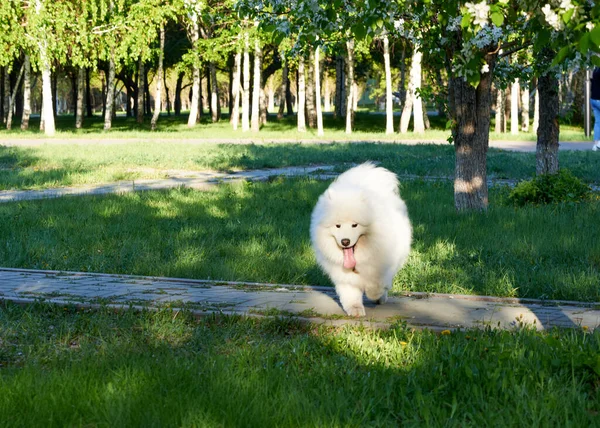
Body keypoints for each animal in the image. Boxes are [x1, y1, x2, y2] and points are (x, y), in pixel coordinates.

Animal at [310, 162, 412, 316]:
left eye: (355, 225)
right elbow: (350, 293)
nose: (345, 241)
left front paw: (374, 294)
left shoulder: (381, 267)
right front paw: (355, 309)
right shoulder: (342, 274)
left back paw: (381, 298)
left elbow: (377, 283)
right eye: (338, 225)